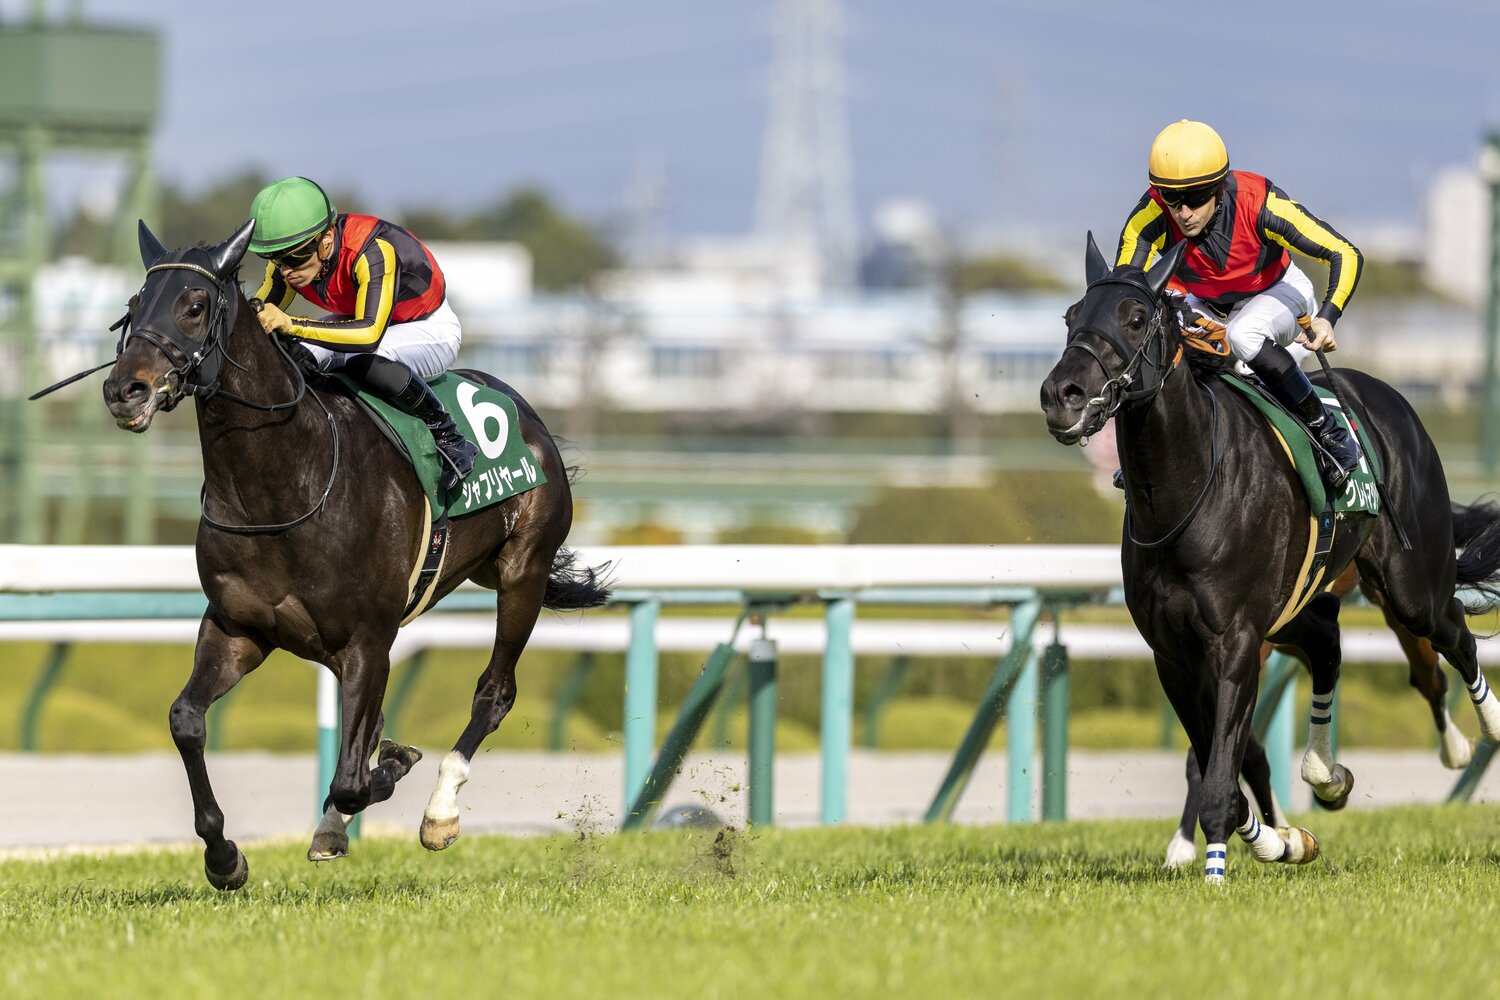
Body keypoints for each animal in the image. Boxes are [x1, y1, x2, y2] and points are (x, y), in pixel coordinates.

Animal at [100, 220, 611, 890]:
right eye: (134, 307)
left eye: (194, 306)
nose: (122, 390)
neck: (286, 481)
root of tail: (526, 412)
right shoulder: (240, 627)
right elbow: (187, 720)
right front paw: (224, 855)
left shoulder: (369, 637)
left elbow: (351, 777)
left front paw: (388, 770)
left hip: (522, 570)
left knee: (494, 692)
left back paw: (439, 809)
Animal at [1039, 234, 1500, 881]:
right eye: (1070, 316)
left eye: (1135, 319)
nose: (1061, 396)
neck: (1186, 491)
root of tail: (1393, 400)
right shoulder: (1174, 652)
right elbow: (1223, 770)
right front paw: (1279, 840)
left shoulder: (1235, 641)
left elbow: (1222, 769)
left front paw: (1216, 867)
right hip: (1294, 610)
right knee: (1330, 640)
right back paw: (1323, 776)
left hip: (1410, 585)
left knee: (1451, 632)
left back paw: (1482, 731)